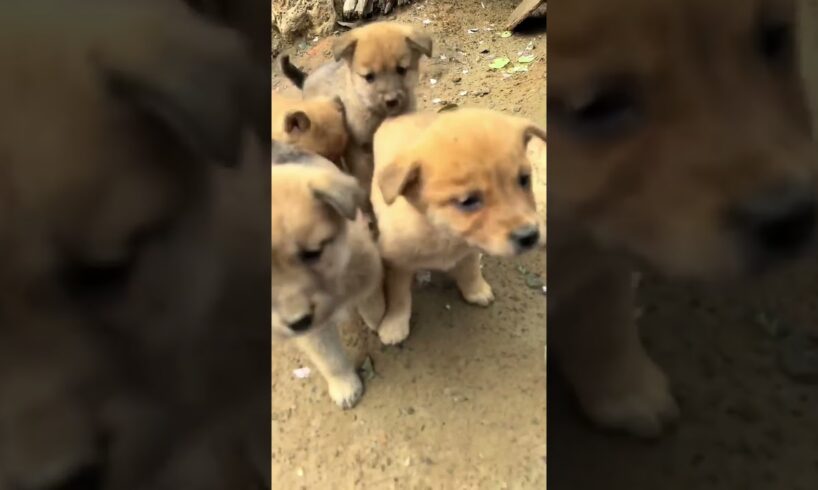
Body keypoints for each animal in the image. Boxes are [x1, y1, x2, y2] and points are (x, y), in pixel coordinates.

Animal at [268, 145, 382, 406]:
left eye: (312, 253)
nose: (298, 322)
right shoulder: (313, 332)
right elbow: (330, 359)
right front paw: (344, 384)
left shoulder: (368, 262)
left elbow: (371, 297)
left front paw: (379, 319)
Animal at [278, 21, 434, 193]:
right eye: (369, 77)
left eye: (401, 70)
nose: (391, 100)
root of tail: (307, 79)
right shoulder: (357, 149)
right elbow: (365, 178)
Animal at [368, 108, 540, 344]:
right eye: (467, 201)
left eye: (524, 179)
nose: (530, 236)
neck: (442, 235)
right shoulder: (397, 264)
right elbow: (399, 296)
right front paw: (394, 324)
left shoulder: (471, 247)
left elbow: (471, 269)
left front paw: (476, 290)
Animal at [548, 0, 816, 438]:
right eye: (596, 106)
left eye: (774, 37)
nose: (793, 216)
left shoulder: (607, 239)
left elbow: (605, 309)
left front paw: (627, 392)